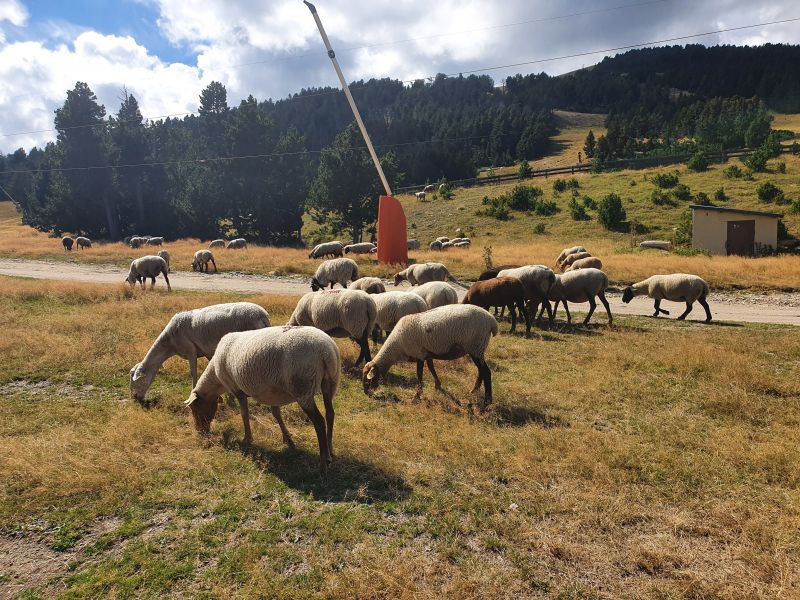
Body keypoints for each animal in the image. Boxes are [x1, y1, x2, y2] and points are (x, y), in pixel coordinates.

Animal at [130, 304, 270, 404]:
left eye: (138, 380)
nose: (134, 398)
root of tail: (263, 316)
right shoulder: (208, 352)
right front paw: (224, 397)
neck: (170, 343)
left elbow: (193, 373)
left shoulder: (190, 350)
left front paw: (192, 395)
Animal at [185, 328, 340, 474]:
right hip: (329, 382)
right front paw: (287, 439)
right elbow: (276, 414)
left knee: (319, 421)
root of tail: (325, 351)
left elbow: (244, 414)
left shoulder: (238, 389)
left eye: (196, 409)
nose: (201, 432)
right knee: (330, 414)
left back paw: (323, 463)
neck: (217, 381)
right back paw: (330, 450)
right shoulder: (273, 394)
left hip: (303, 388)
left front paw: (247, 439)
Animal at [364, 302, 500, 410]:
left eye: (367, 380)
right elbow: (432, 369)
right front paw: (438, 386)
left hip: (476, 347)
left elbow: (419, 375)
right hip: (477, 349)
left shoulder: (419, 354)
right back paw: (474, 391)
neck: (397, 347)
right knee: (481, 371)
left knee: (486, 372)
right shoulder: (427, 354)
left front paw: (416, 397)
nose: (366, 393)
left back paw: (487, 402)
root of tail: (491, 320)